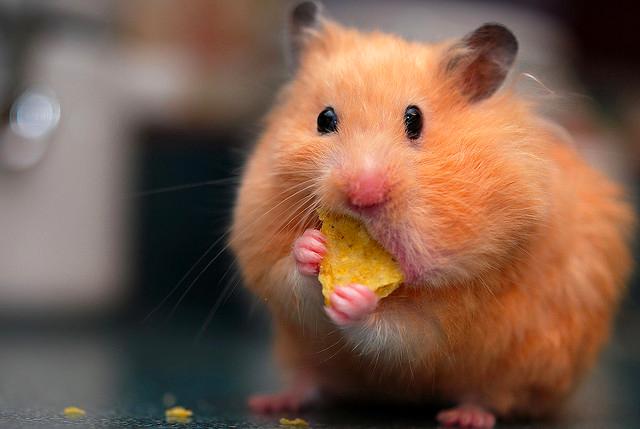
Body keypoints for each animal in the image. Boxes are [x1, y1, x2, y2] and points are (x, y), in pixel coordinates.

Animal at [229, 2, 635, 427]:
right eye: (324, 119)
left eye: (415, 120)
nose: (364, 194)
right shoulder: (261, 244)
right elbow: (286, 279)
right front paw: (310, 248)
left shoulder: (450, 315)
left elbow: (403, 331)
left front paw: (356, 300)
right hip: (300, 353)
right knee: (310, 378)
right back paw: (273, 401)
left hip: (523, 370)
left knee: (490, 395)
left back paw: (466, 416)